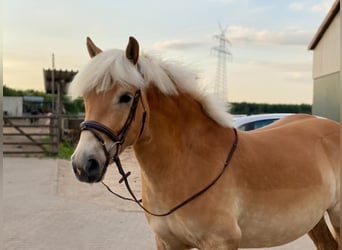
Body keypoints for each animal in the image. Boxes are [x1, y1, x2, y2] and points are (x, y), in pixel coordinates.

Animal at [69, 36, 340, 249]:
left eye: (125, 97)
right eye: (86, 97)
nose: (84, 164)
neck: (189, 162)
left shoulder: (220, 242)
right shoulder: (167, 242)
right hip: (315, 219)